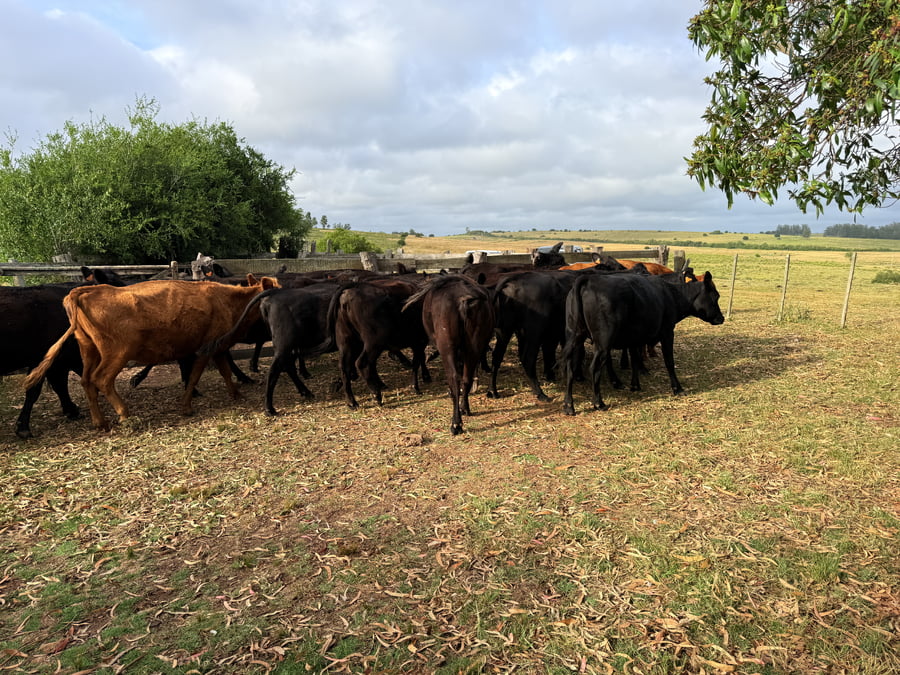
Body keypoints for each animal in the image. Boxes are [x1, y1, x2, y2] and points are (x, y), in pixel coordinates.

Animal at [23, 275, 280, 430]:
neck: (228, 300)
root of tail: (88, 290)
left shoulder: (217, 348)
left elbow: (225, 372)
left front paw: (236, 394)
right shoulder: (206, 348)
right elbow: (194, 376)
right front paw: (186, 406)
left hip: (88, 350)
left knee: (87, 382)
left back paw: (100, 422)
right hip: (117, 352)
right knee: (101, 379)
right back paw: (124, 413)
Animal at [404, 274, 495, 435]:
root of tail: (464, 300)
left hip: (447, 348)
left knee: (454, 378)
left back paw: (456, 423)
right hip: (473, 347)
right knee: (466, 378)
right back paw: (465, 408)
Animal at [561, 271, 724, 415]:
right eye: (716, 296)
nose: (721, 318)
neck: (672, 295)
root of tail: (589, 279)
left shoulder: (634, 338)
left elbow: (635, 360)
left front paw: (635, 385)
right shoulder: (667, 332)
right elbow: (669, 361)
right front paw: (677, 388)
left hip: (574, 336)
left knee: (570, 368)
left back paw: (569, 406)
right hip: (603, 342)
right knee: (594, 368)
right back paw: (598, 403)